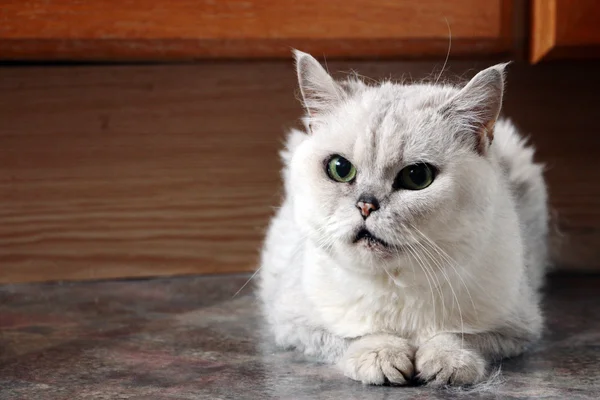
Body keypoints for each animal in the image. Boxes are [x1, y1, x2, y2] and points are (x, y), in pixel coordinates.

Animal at [258, 50, 548, 388]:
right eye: (340, 169)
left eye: (417, 177)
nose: (366, 206)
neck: (395, 282)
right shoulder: (292, 323)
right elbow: (358, 336)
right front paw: (383, 358)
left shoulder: (517, 328)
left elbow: (456, 336)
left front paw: (445, 364)